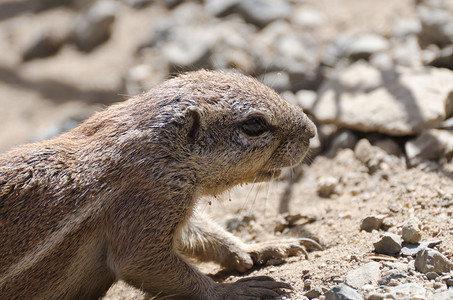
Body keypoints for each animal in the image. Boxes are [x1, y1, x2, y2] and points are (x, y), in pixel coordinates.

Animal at [0, 69, 316, 298]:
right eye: (254, 124)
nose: (312, 130)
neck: (160, 151)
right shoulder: (150, 201)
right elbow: (141, 262)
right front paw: (233, 290)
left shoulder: (174, 204)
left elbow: (203, 234)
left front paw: (262, 247)